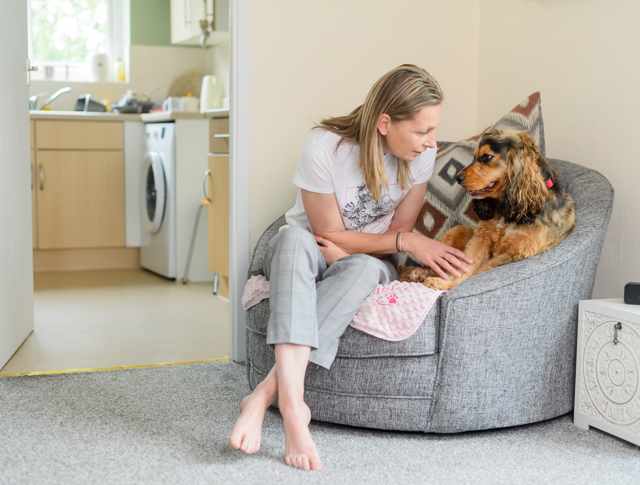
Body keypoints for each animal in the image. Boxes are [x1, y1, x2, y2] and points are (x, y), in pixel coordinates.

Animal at [398, 127, 576, 292]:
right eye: (474, 156)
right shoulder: (482, 238)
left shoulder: (516, 252)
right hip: (459, 229)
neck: (507, 211)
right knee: (439, 266)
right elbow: (464, 265)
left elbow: (480, 270)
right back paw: (419, 273)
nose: (457, 178)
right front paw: (444, 283)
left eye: (486, 157)